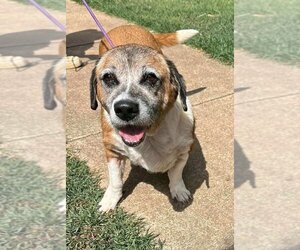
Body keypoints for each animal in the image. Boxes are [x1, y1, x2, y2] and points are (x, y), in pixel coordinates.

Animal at [89, 24, 197, 211]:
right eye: (108, 77)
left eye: (150, 78)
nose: (125, 109)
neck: (152, 136)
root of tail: (126, 25)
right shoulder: (112, 151)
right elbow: (115, 181)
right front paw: (110, 199)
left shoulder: (185, 150)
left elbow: (176, 174)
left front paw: (179, 190)